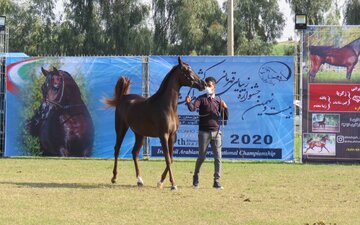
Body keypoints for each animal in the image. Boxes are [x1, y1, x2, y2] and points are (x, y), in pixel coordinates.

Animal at [102, 56, 207, 190]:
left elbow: (171, 159)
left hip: (139, 135)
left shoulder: (172, 136)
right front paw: (173, 184)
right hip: (121, 129)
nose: (203, 84)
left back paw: (139, 180)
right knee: (117, 149)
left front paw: (161, 181)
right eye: (187, 70)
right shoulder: (163, 136)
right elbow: (167, 159)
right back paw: (114, 178)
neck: (167, 106)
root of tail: (123, 97)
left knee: (135, 153)